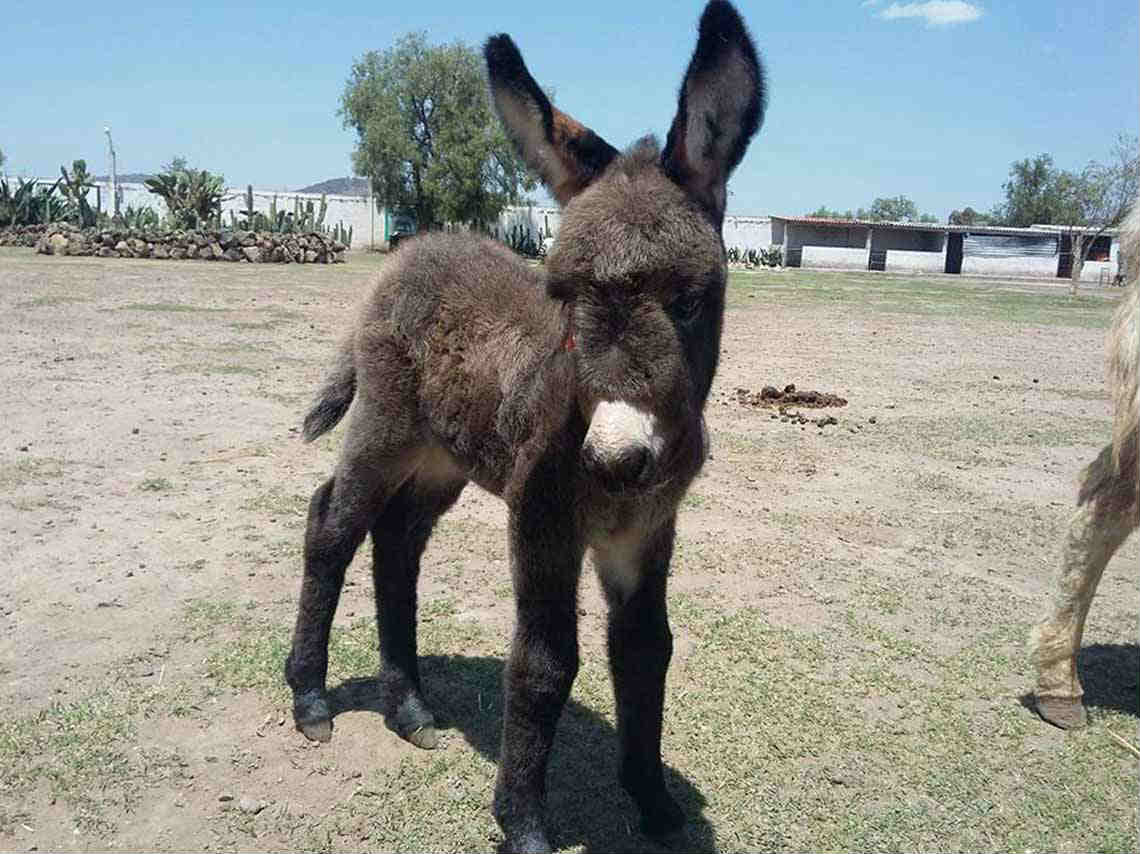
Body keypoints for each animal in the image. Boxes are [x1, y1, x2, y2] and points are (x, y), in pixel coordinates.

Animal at [285, 3, 766, 848]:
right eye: (563, 297)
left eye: (689, 301)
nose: (613, 459)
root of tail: (409, 252)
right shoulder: (543, 518)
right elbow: (545, 662)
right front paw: (525, 822)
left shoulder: (647, 529)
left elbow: (647, 650)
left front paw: (653, 802)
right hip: (384, 427)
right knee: (333, 525)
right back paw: (310, 698)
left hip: (442, 459)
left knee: (396, 543)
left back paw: (409, 709)